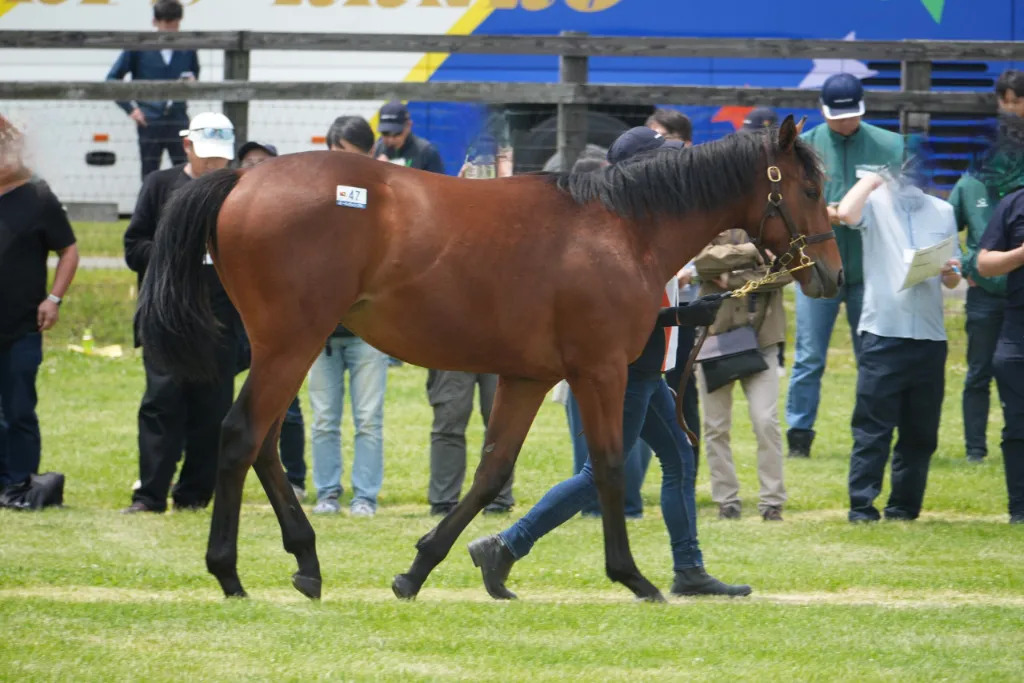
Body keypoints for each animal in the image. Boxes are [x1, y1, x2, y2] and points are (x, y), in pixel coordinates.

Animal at [138, 114, 841, 603]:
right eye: (809, 185)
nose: (831, 274)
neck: (620, 228)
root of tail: (245, 176)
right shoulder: (601, 371)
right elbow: (609, 466)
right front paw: (632, 576)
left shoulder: (527, 377)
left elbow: (490, 473)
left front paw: (423, 569)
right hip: (293, 342)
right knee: (241, 436)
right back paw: (230, 573)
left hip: (288, 348)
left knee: (261, 444)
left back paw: (306, 563)